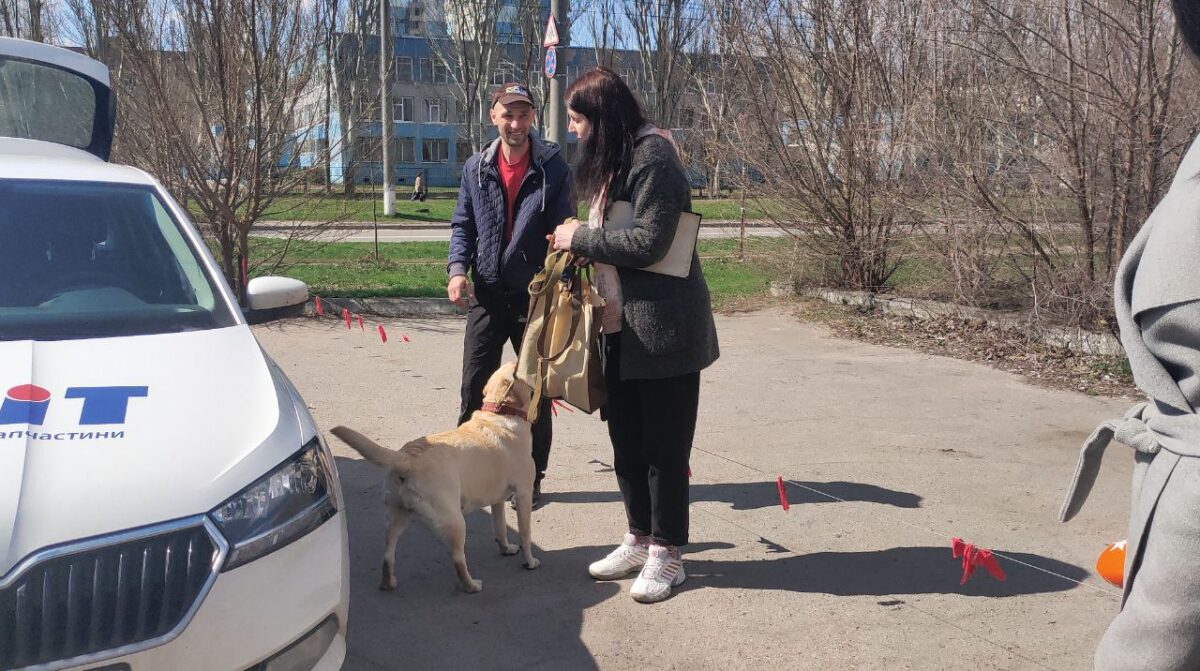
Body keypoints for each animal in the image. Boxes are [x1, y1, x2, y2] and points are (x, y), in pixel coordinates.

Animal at [328, 362, 535, 592]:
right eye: (520, 367)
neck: (500, 413)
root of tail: (407, 458)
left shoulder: (497, 499)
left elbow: (500, 529)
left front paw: (506, 549)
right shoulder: (523, 494)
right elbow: (525, 534)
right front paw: (529, 562)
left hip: (396, 516)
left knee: (387, 555)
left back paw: (387, 583)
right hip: (455, 521)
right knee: (458, 559)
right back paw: (472, 585)